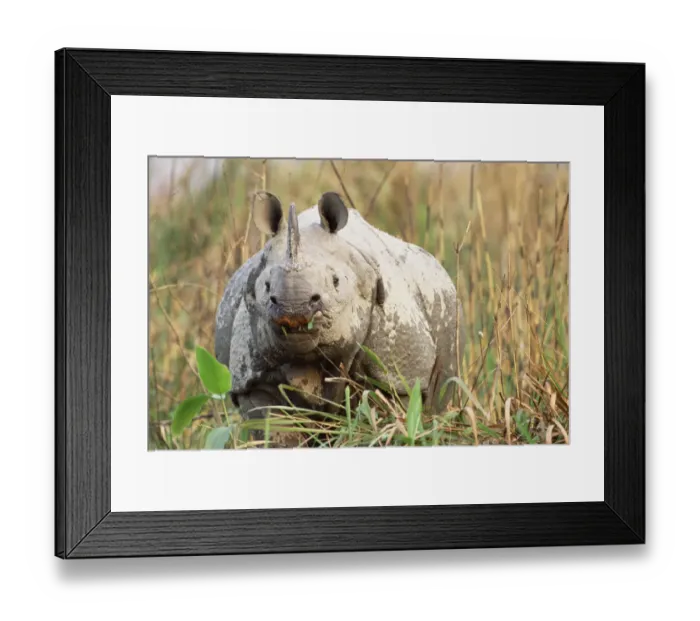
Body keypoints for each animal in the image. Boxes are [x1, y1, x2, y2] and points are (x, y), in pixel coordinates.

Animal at [215, 191, 458, 436]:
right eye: (266, 287)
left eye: (336, 281)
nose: (294, 307)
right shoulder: (251, 379)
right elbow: (273, 427)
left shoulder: (397, 374)